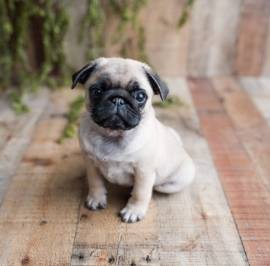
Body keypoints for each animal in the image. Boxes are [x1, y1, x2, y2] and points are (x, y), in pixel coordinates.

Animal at [71, 57, 194, 222]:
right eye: (97, 91)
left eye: (140, 96)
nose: (118, 99)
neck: (114, 134)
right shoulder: (91, 164)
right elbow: (95, 183)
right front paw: (96, 198)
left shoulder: (143, 172)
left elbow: (140, 193)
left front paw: (133, 210)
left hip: (172, 183)